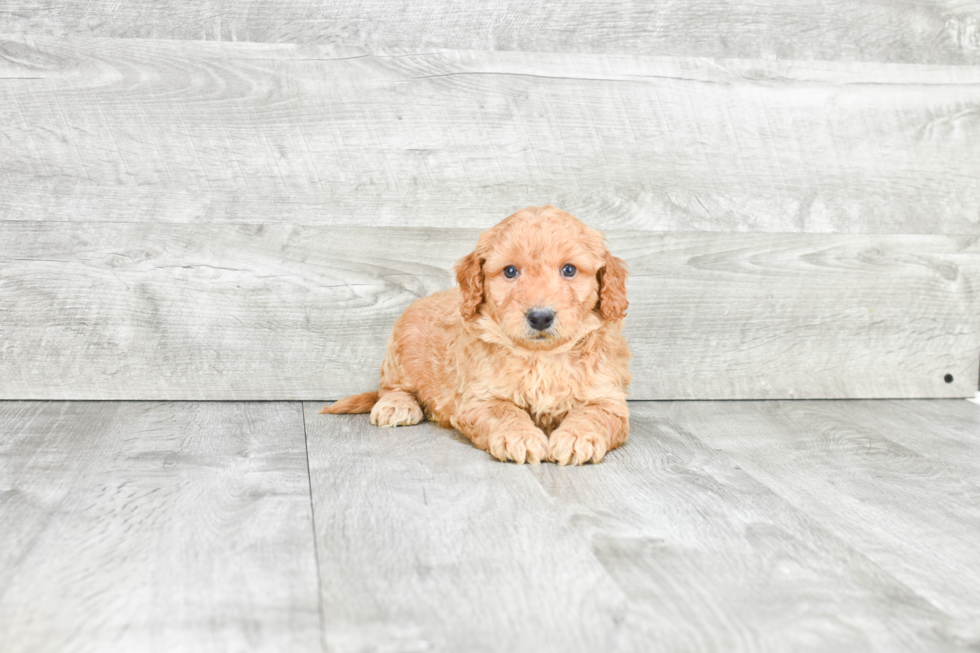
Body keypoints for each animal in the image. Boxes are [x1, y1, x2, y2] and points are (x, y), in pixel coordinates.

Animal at [320, 205, 628, 464]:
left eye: (569, 270)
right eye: (510, 271)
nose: (540, 316)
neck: (540, 358)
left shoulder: (608, 397)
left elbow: (592, 413)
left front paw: (576, 438)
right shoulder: (480, 398)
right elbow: (505, 411)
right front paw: (519, 436)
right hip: (401, 349)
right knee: (392, 388)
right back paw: (397, 406)